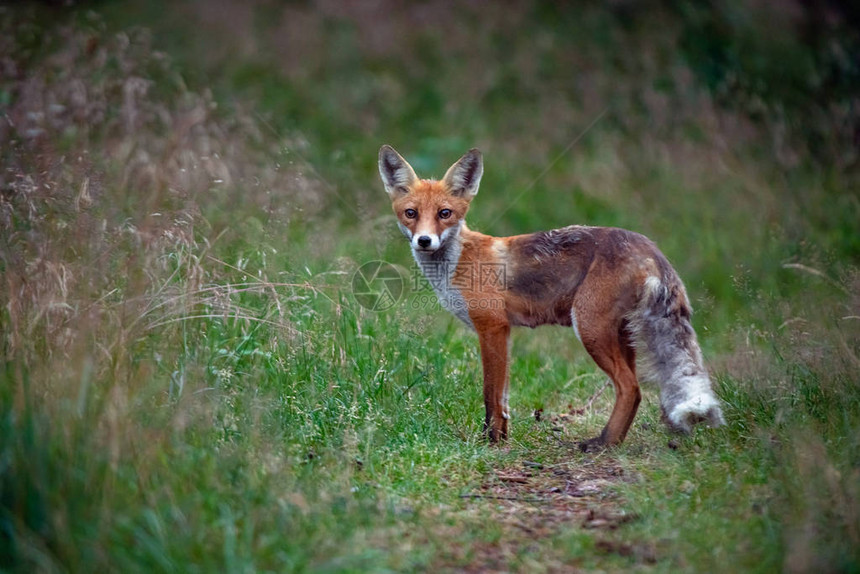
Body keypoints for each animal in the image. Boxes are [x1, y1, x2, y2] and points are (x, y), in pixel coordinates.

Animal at [380, 144, 724, 450]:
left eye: (445, 213)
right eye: (411, 213)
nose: (425, 241)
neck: (458, 262)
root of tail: (649, 246)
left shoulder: (491, 327)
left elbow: (490, 394)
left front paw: (489, 442)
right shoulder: (505, 332)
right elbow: (503, 399)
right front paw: (502, 439)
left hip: (590, 328)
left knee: (630, 387)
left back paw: (603, 443)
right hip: (621, 334)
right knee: (634, 390)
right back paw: (614, 440)